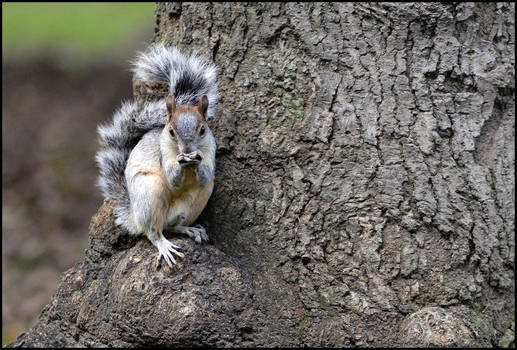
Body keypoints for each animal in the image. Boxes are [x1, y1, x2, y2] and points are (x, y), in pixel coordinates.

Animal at [95, 43, 218, 268]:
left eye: (202, 129)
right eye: (171, 131)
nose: (187, 150)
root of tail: (134, 217)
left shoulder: (210, 149)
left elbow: (205, 176)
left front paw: (196, 161)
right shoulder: (163, 152)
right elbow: (172, 178)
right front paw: (181, 162)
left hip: (198, 200)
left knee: (171, 226)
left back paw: (189, 229)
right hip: (150, 191)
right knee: (153, 232)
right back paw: (164, 245)